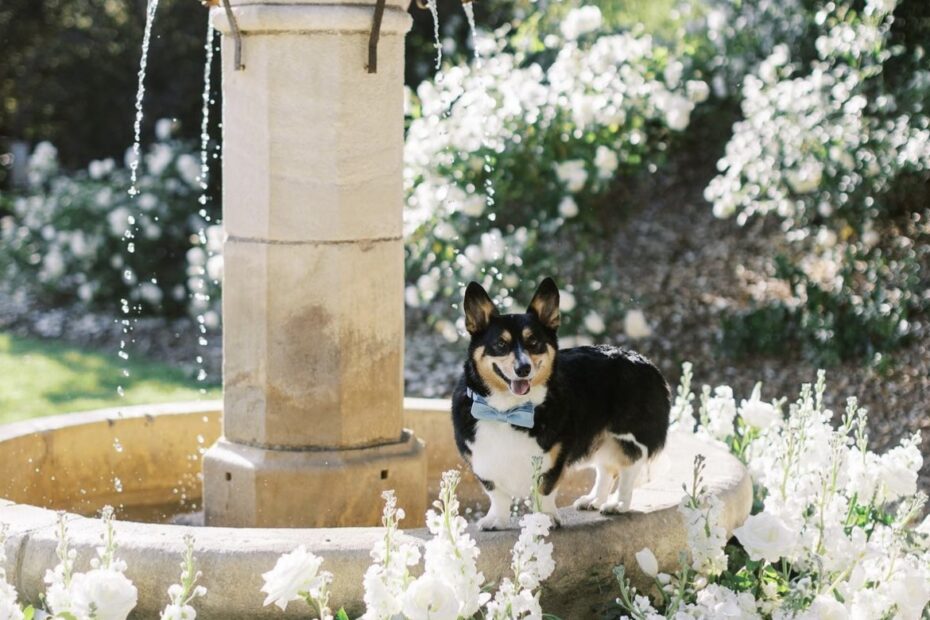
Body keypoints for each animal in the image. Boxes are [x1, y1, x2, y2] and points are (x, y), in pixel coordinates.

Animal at [450, 278, 668, 532]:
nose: (523, 369)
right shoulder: (482, 461)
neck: (508, 411)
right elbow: (497, 495)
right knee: (605, 469)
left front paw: (544, 519)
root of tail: (647, 363)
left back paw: (618, 504)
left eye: (533, 342)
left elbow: (545, 490)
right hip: (602, 439)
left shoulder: (554, 458)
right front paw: (497, 520)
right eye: (500, 344)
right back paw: (593, 500)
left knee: (628, 467)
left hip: (628, 436)